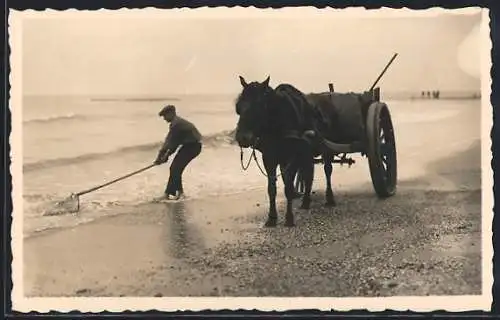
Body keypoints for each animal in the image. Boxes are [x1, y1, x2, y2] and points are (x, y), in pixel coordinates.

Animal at [234, 75, 336, 228]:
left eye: (259, 106)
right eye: (239, 106)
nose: (242, 138)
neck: (277, 125)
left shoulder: (292, 157)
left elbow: (288, 187)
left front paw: (289, 218)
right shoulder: (269, 158)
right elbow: (272, 188)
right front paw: (271, 218)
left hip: (325, 149)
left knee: (327, 170)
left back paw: (329, 198)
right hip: (305, 154)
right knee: (308, 174)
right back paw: (306, 201)